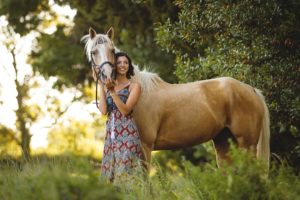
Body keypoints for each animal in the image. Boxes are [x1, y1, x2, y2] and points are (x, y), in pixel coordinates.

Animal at [81, 27, 270, 170]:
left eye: (112, 51)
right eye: (94, 52)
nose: (108, 78)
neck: (138, 90)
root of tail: (251, 90)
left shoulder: (144, 146)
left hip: (247, 144)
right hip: (225, 143)